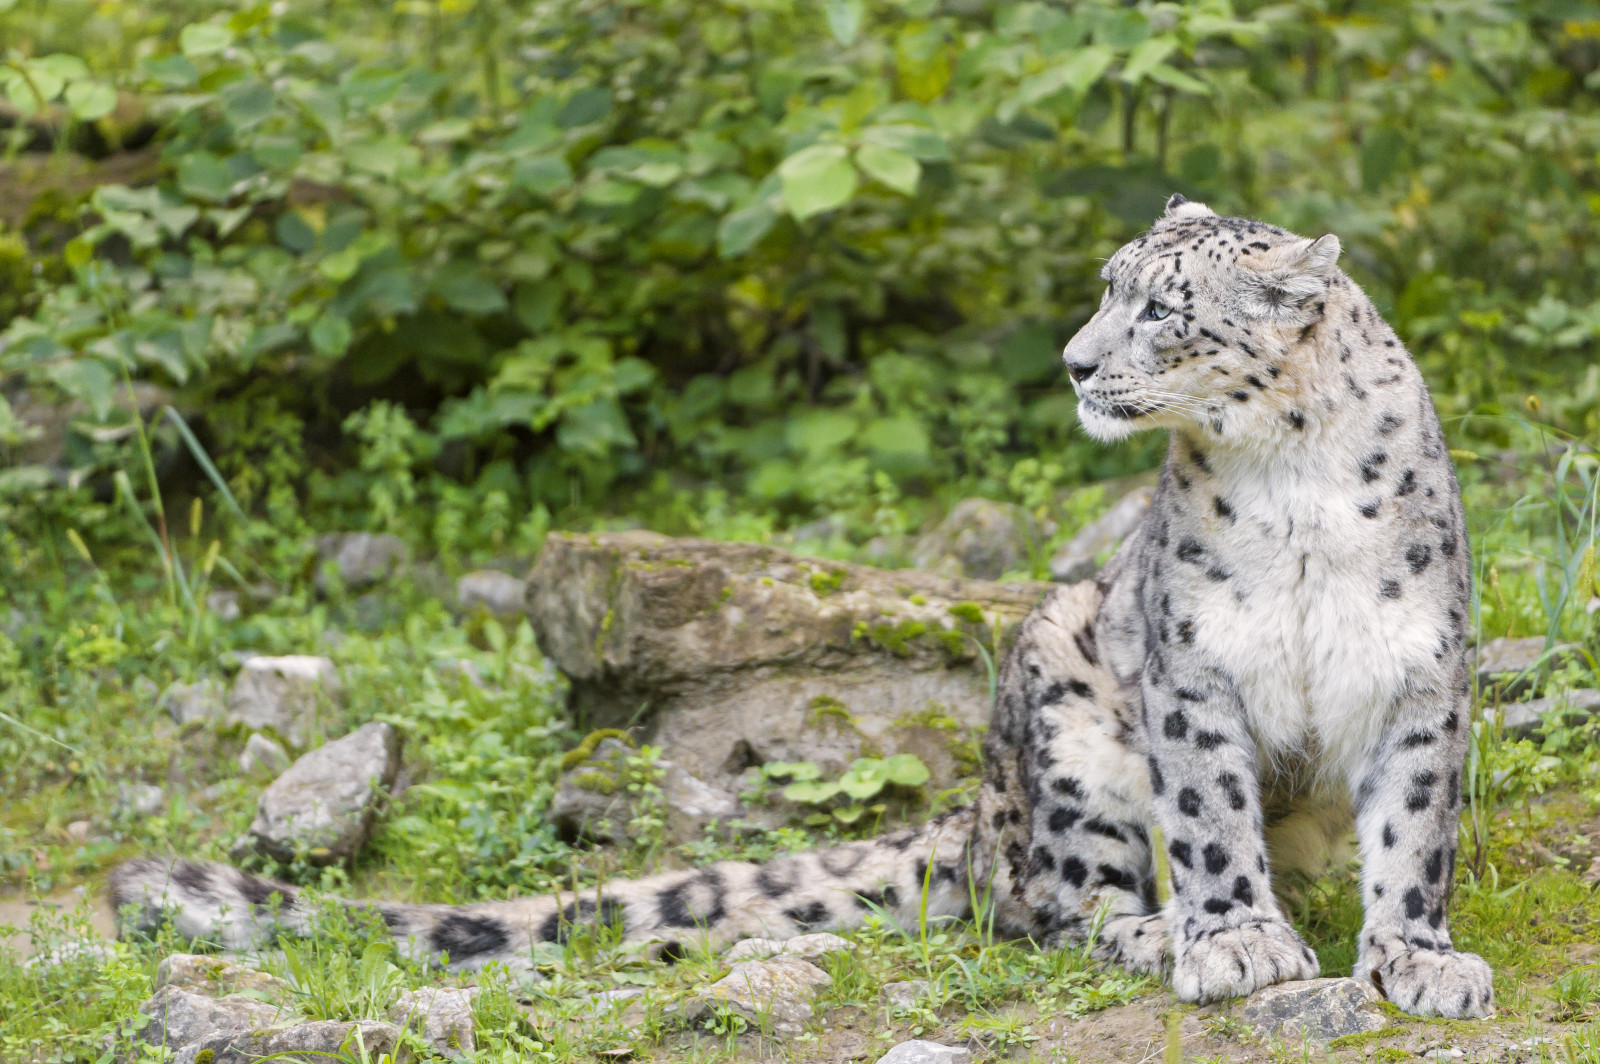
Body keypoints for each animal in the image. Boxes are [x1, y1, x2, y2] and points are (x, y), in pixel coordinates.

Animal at [113, 197, 1492, 1019]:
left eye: (1162, 307)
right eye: (1109, 286)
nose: (1075, 362)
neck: (1290, 484)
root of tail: (980, 797)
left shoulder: (1419, 670)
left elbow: (1411, 831)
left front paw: (1417, 958)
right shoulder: (1192, 667)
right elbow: (1208, 812)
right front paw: (1235, 941)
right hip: (1063, 699)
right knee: (1047, 896)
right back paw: (1148, 929)